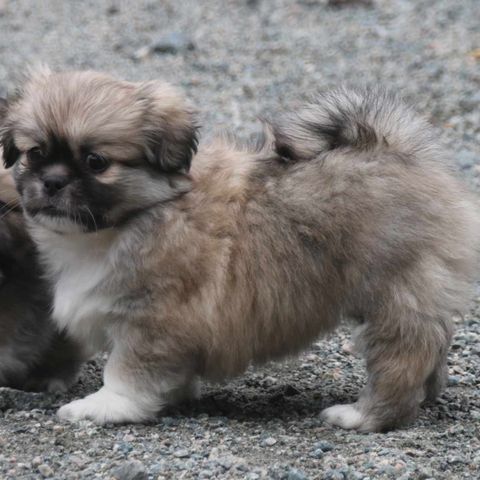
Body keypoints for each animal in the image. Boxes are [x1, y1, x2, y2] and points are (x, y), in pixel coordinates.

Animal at [1, 69, 478, 434]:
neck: (133, 218)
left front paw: (105, 406)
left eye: (96, 162)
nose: (53, 181)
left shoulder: (153, 319)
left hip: (390, 296)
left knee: (403, 358)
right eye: (34, 153)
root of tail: (395, 148)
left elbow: (126, 371)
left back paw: (363, 416)